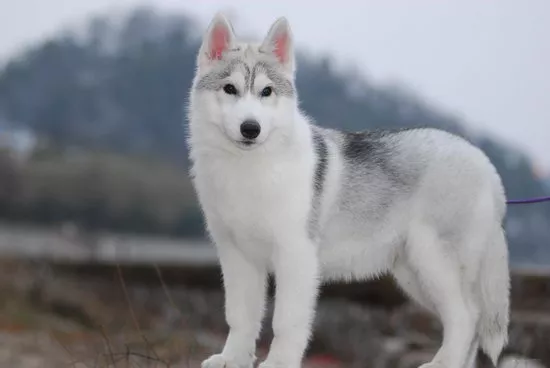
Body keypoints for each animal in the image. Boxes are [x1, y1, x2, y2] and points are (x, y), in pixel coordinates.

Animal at [188, 12, 512, 368]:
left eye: (266, 92)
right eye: (230, 89)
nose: (250, 128)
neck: (249, 171)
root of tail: (486, 165)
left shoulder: (296, 256)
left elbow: (286, 322)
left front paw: (278, 364)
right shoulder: (237, 257)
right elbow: (240, 317)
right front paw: (231, 358)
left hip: (434, 262)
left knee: (466, 317)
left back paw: (441, 363)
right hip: (414, 275)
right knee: (471, 323)